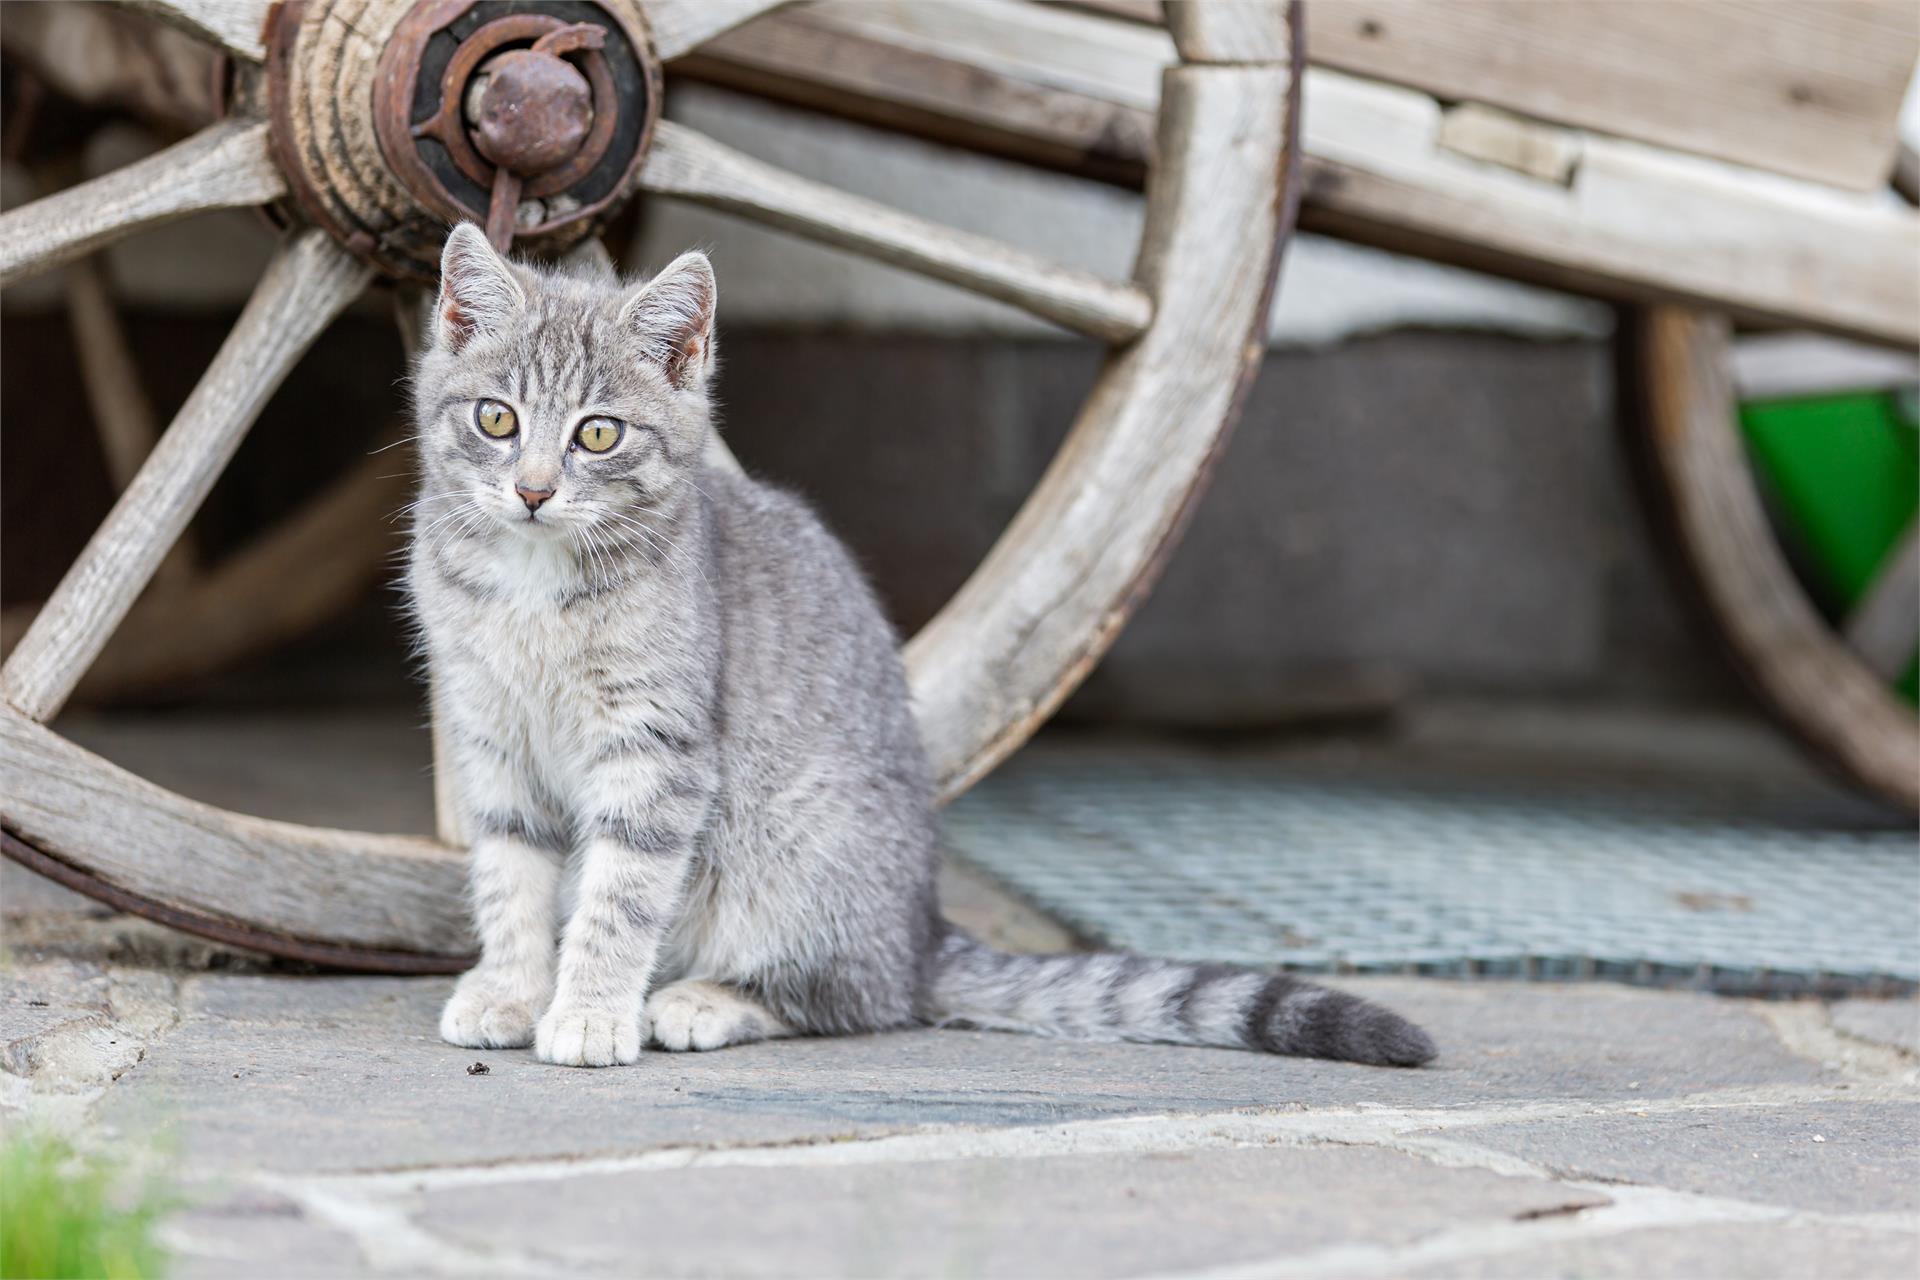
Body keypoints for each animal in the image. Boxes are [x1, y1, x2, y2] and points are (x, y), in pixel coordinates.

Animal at [405, 222, 1436, 1074]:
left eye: (598, 434)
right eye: (496, 418)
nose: (534, 491)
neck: (535, 586)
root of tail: (924, 928)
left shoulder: (657, 751)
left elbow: (619, 895)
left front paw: (587, 1012)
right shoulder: (490, 734)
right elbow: (510, 873)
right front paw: (511, 988)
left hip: (795, 850)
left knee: (860, 999)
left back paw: (706, 1001)